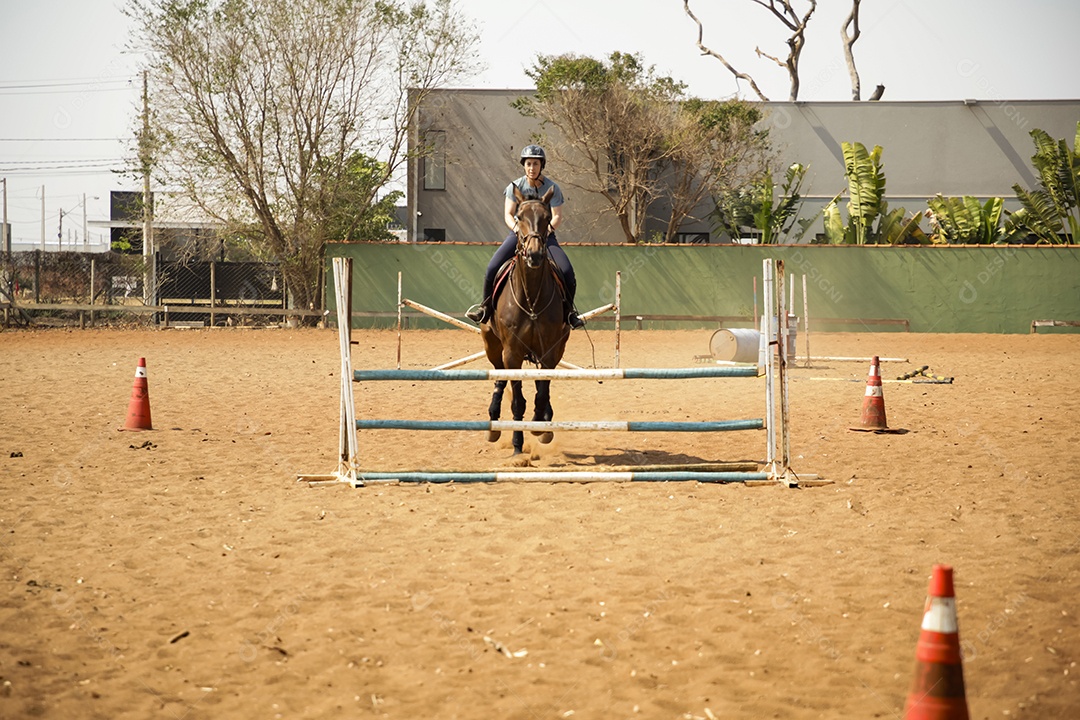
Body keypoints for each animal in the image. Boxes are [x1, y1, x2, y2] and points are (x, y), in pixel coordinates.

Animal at [481, 187, 574, 455]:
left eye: (546, 217)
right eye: (520, 216)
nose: (534, 254)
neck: (531, 297)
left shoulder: (550, 351)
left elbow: (541, 393)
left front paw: (540, 427)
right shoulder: (511, 352)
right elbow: (517, 402)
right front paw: (517, 447)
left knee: (545, 384)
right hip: (493, 346)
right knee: (499, 378)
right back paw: (493, 423)